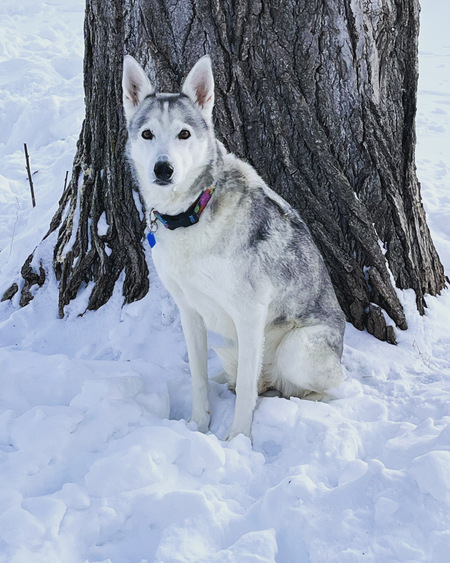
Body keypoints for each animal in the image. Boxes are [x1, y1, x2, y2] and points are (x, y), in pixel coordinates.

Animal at [123, 54, 344, 440]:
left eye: (184, 133)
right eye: (147, 134)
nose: (163, 169)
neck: (191, 215)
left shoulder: (250, 313)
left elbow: (245, 394)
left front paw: (238, 440)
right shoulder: (189, 310)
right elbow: (197, 379)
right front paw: (198, 426)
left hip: (297, 348)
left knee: (328, 387)